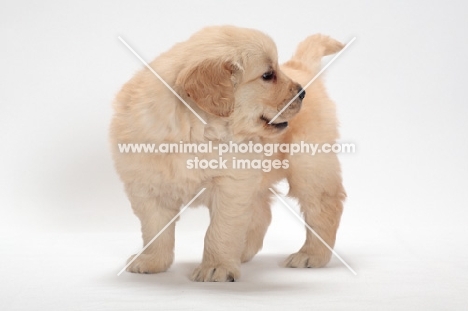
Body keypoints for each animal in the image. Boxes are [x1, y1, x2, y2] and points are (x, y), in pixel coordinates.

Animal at [109, 26, 344, 282]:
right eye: (268, 75)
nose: (302, 92)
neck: (195, 132)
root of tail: (301, 68)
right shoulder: (147, 187)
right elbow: (154, 230)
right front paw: (151, 262)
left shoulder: (231, 185)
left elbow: (220, 230)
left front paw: (216, 267)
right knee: (262, 211)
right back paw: (243, 253)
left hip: (309, 167)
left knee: (324, 207)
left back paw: (311, 255)